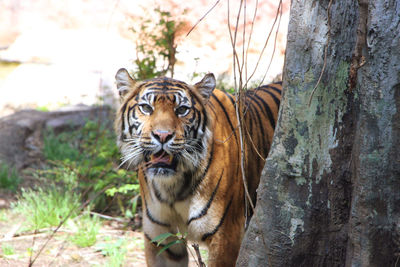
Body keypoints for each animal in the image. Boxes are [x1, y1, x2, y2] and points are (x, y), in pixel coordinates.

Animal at [113, 69, 282, 267]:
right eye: (146, 108)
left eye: (182, 110)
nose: (163, 136)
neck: (172, 186)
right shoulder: (160, 240)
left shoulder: (226, 238)